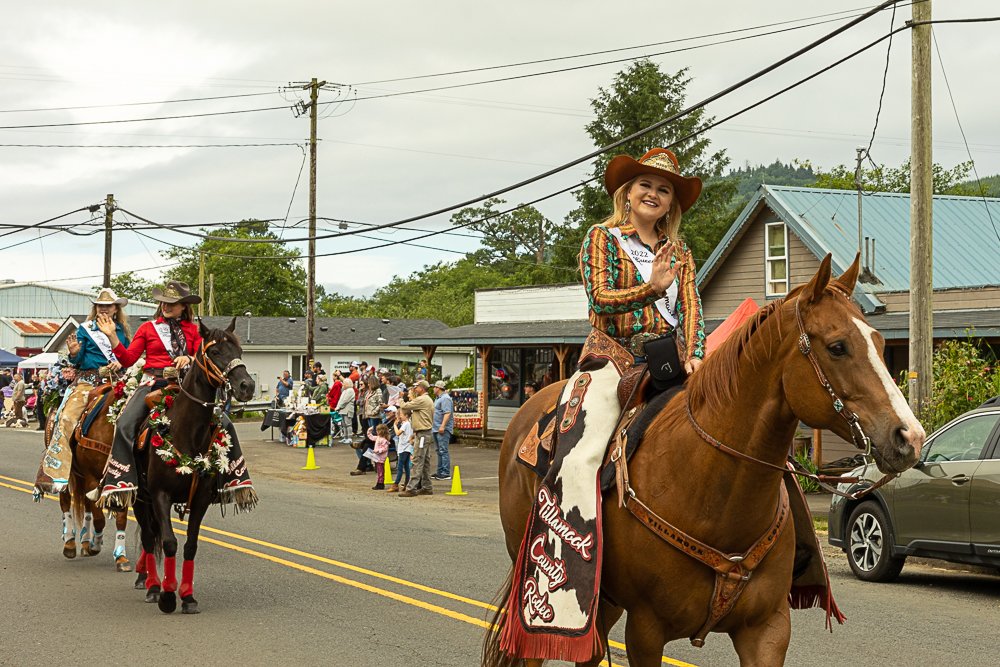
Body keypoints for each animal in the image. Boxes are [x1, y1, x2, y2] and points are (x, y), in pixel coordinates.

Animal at [484, 253, 920, 664]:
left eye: (881, 344)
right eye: (837, 347)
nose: (909, 437)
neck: (710, 489)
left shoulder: (767, 630)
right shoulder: (646, 632)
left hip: (601, 601)